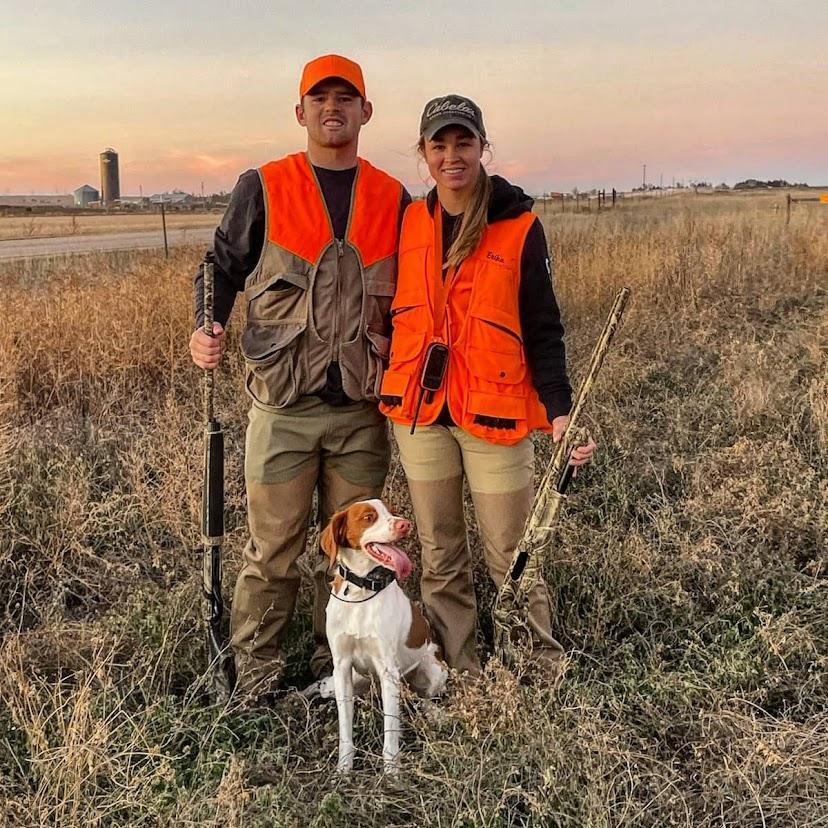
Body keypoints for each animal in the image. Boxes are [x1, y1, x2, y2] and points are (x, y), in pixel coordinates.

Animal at [312, 498, 446, 776]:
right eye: (368, 517)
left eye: (390, 512)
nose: (405, 524)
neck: (360, 591)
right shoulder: (342, 668)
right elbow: (345, 728)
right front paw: (343, 768)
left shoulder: (387, 670)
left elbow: (390, 730)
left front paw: (392, 772)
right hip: (344, 681)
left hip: (434, 670)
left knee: (422, 699)